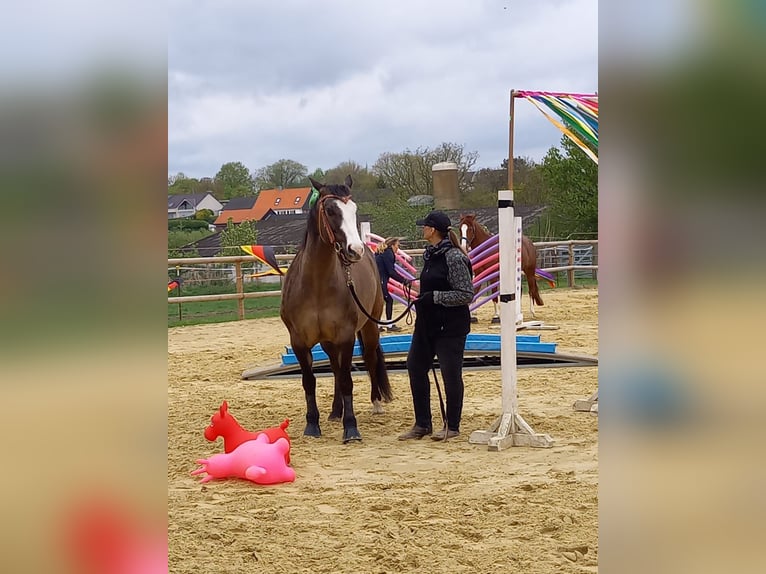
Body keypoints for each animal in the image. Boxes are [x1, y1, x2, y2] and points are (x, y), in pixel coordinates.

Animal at [279, 175, 393, 443]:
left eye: (354, 210)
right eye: (330, 210)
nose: (355, 249)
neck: (316, 285)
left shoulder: (346, 336)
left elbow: (347, 380)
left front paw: (351, 428)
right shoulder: (299, 341)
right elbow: (309, 381)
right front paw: (312, 425)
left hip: (369, 327)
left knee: (368, 359)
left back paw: (375, 404)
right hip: (327, 342)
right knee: (334, 368)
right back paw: (335, 411)